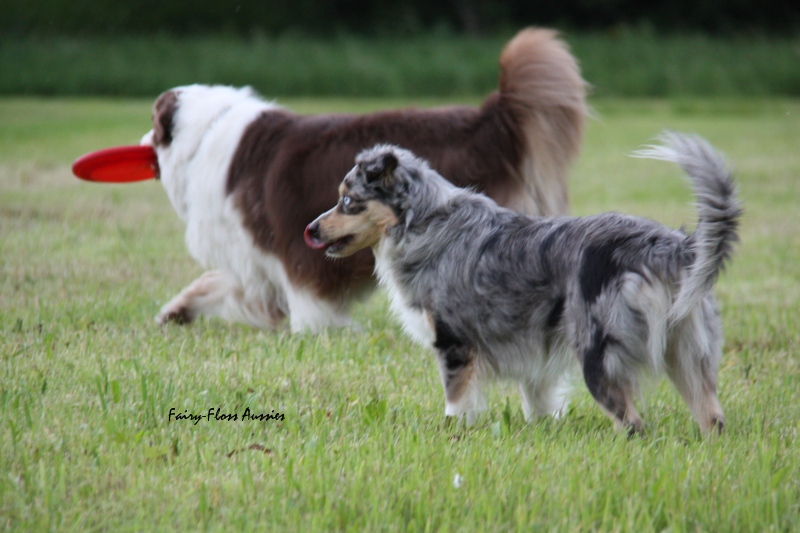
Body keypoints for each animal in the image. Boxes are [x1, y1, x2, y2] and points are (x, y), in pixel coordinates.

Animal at [141, 29, 584, 330]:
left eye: (152, 123)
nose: (142, 142)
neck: (204, 137)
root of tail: (489, 122)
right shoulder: (253, 266)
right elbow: (214, 284)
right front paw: (172, 312)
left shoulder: (293, 259)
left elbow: (305, 307)